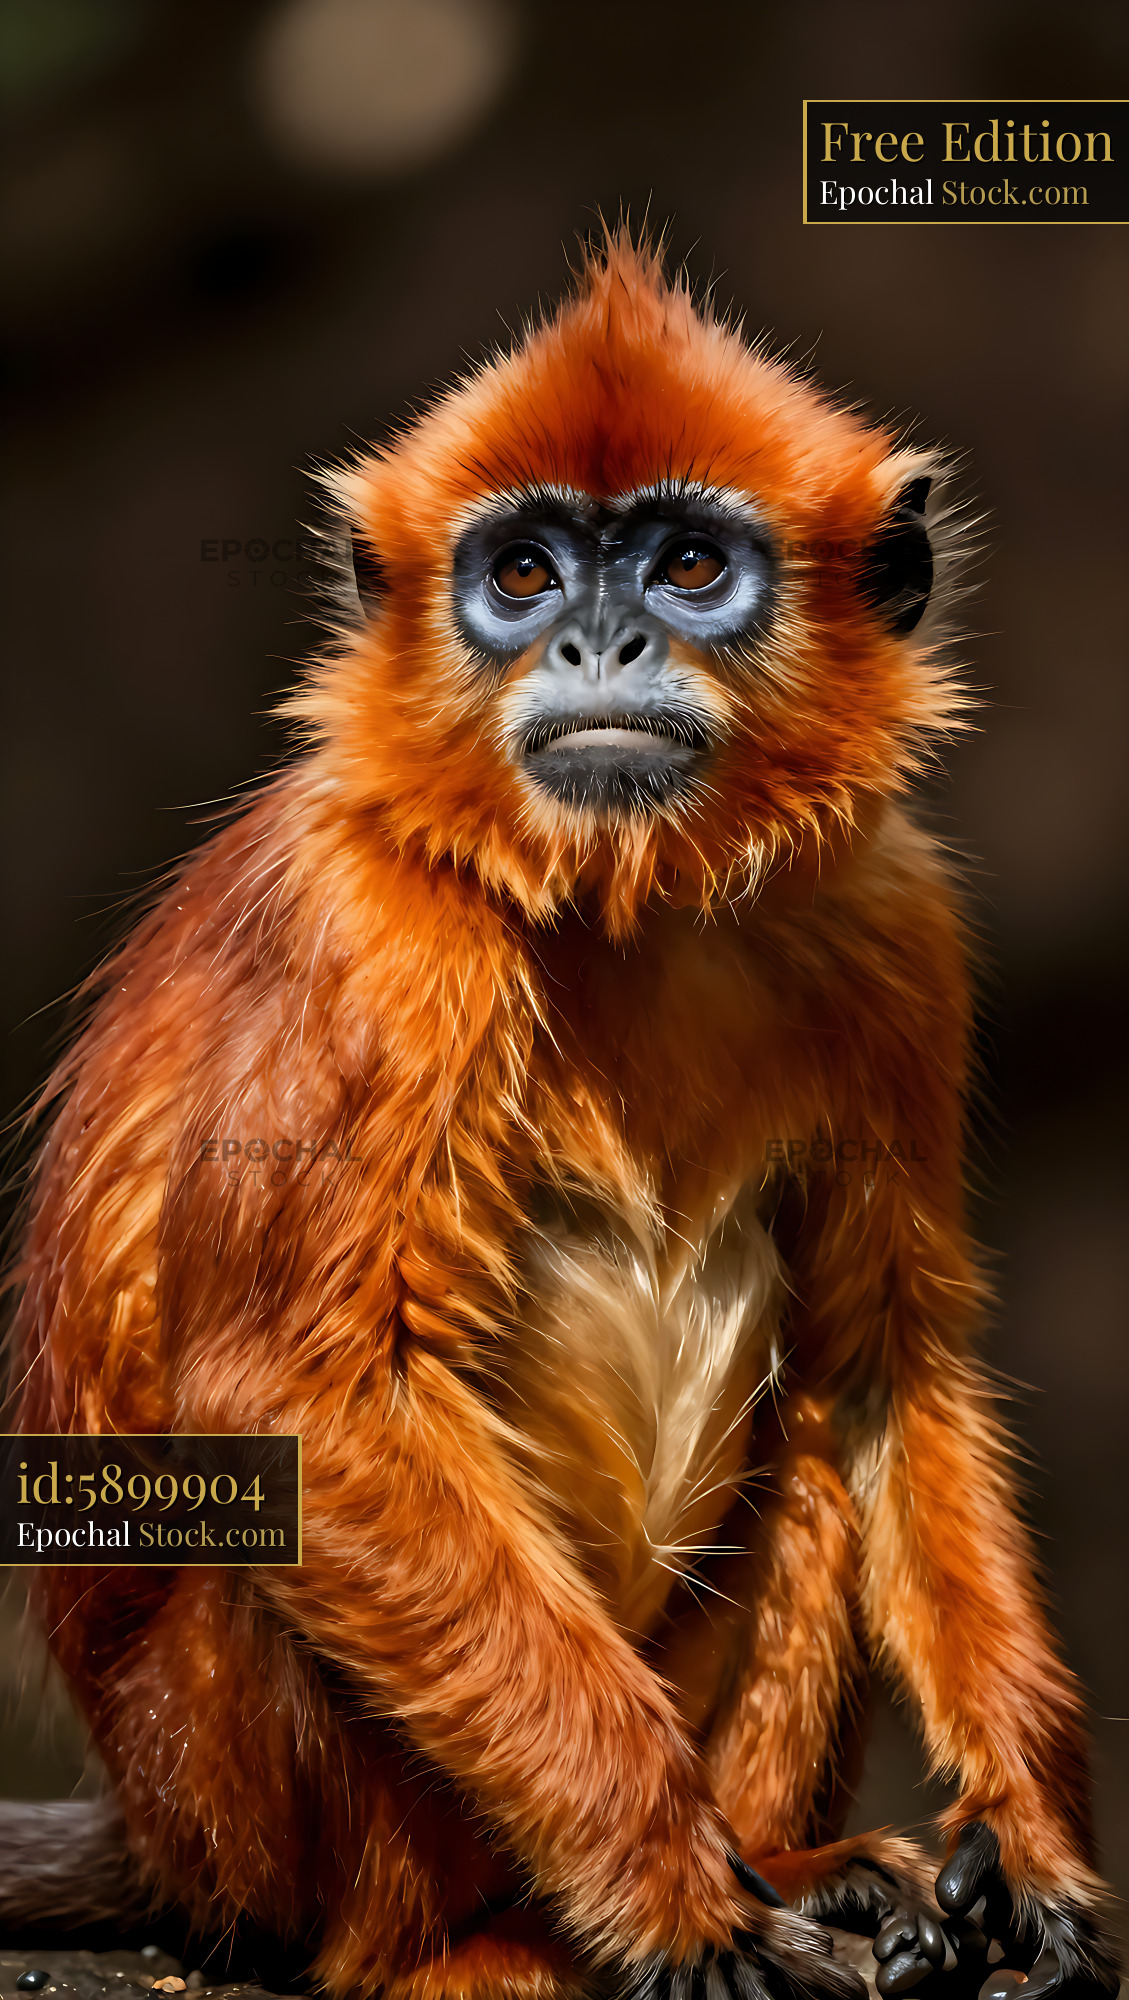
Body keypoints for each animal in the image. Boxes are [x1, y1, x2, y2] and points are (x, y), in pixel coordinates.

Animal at [3, 231, 1121, 2000]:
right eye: (523, 575)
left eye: (685, 566)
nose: (598, 647)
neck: (631, 906)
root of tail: (157, 1832)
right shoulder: (375, 934)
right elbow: (289, 1398)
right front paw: (671, 1898)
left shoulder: (894, 920)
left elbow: (888, 1360)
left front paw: (1028, 1837)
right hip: (235, 1790)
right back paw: (483, 1946)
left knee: (816, 1429)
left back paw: (800, 1868)